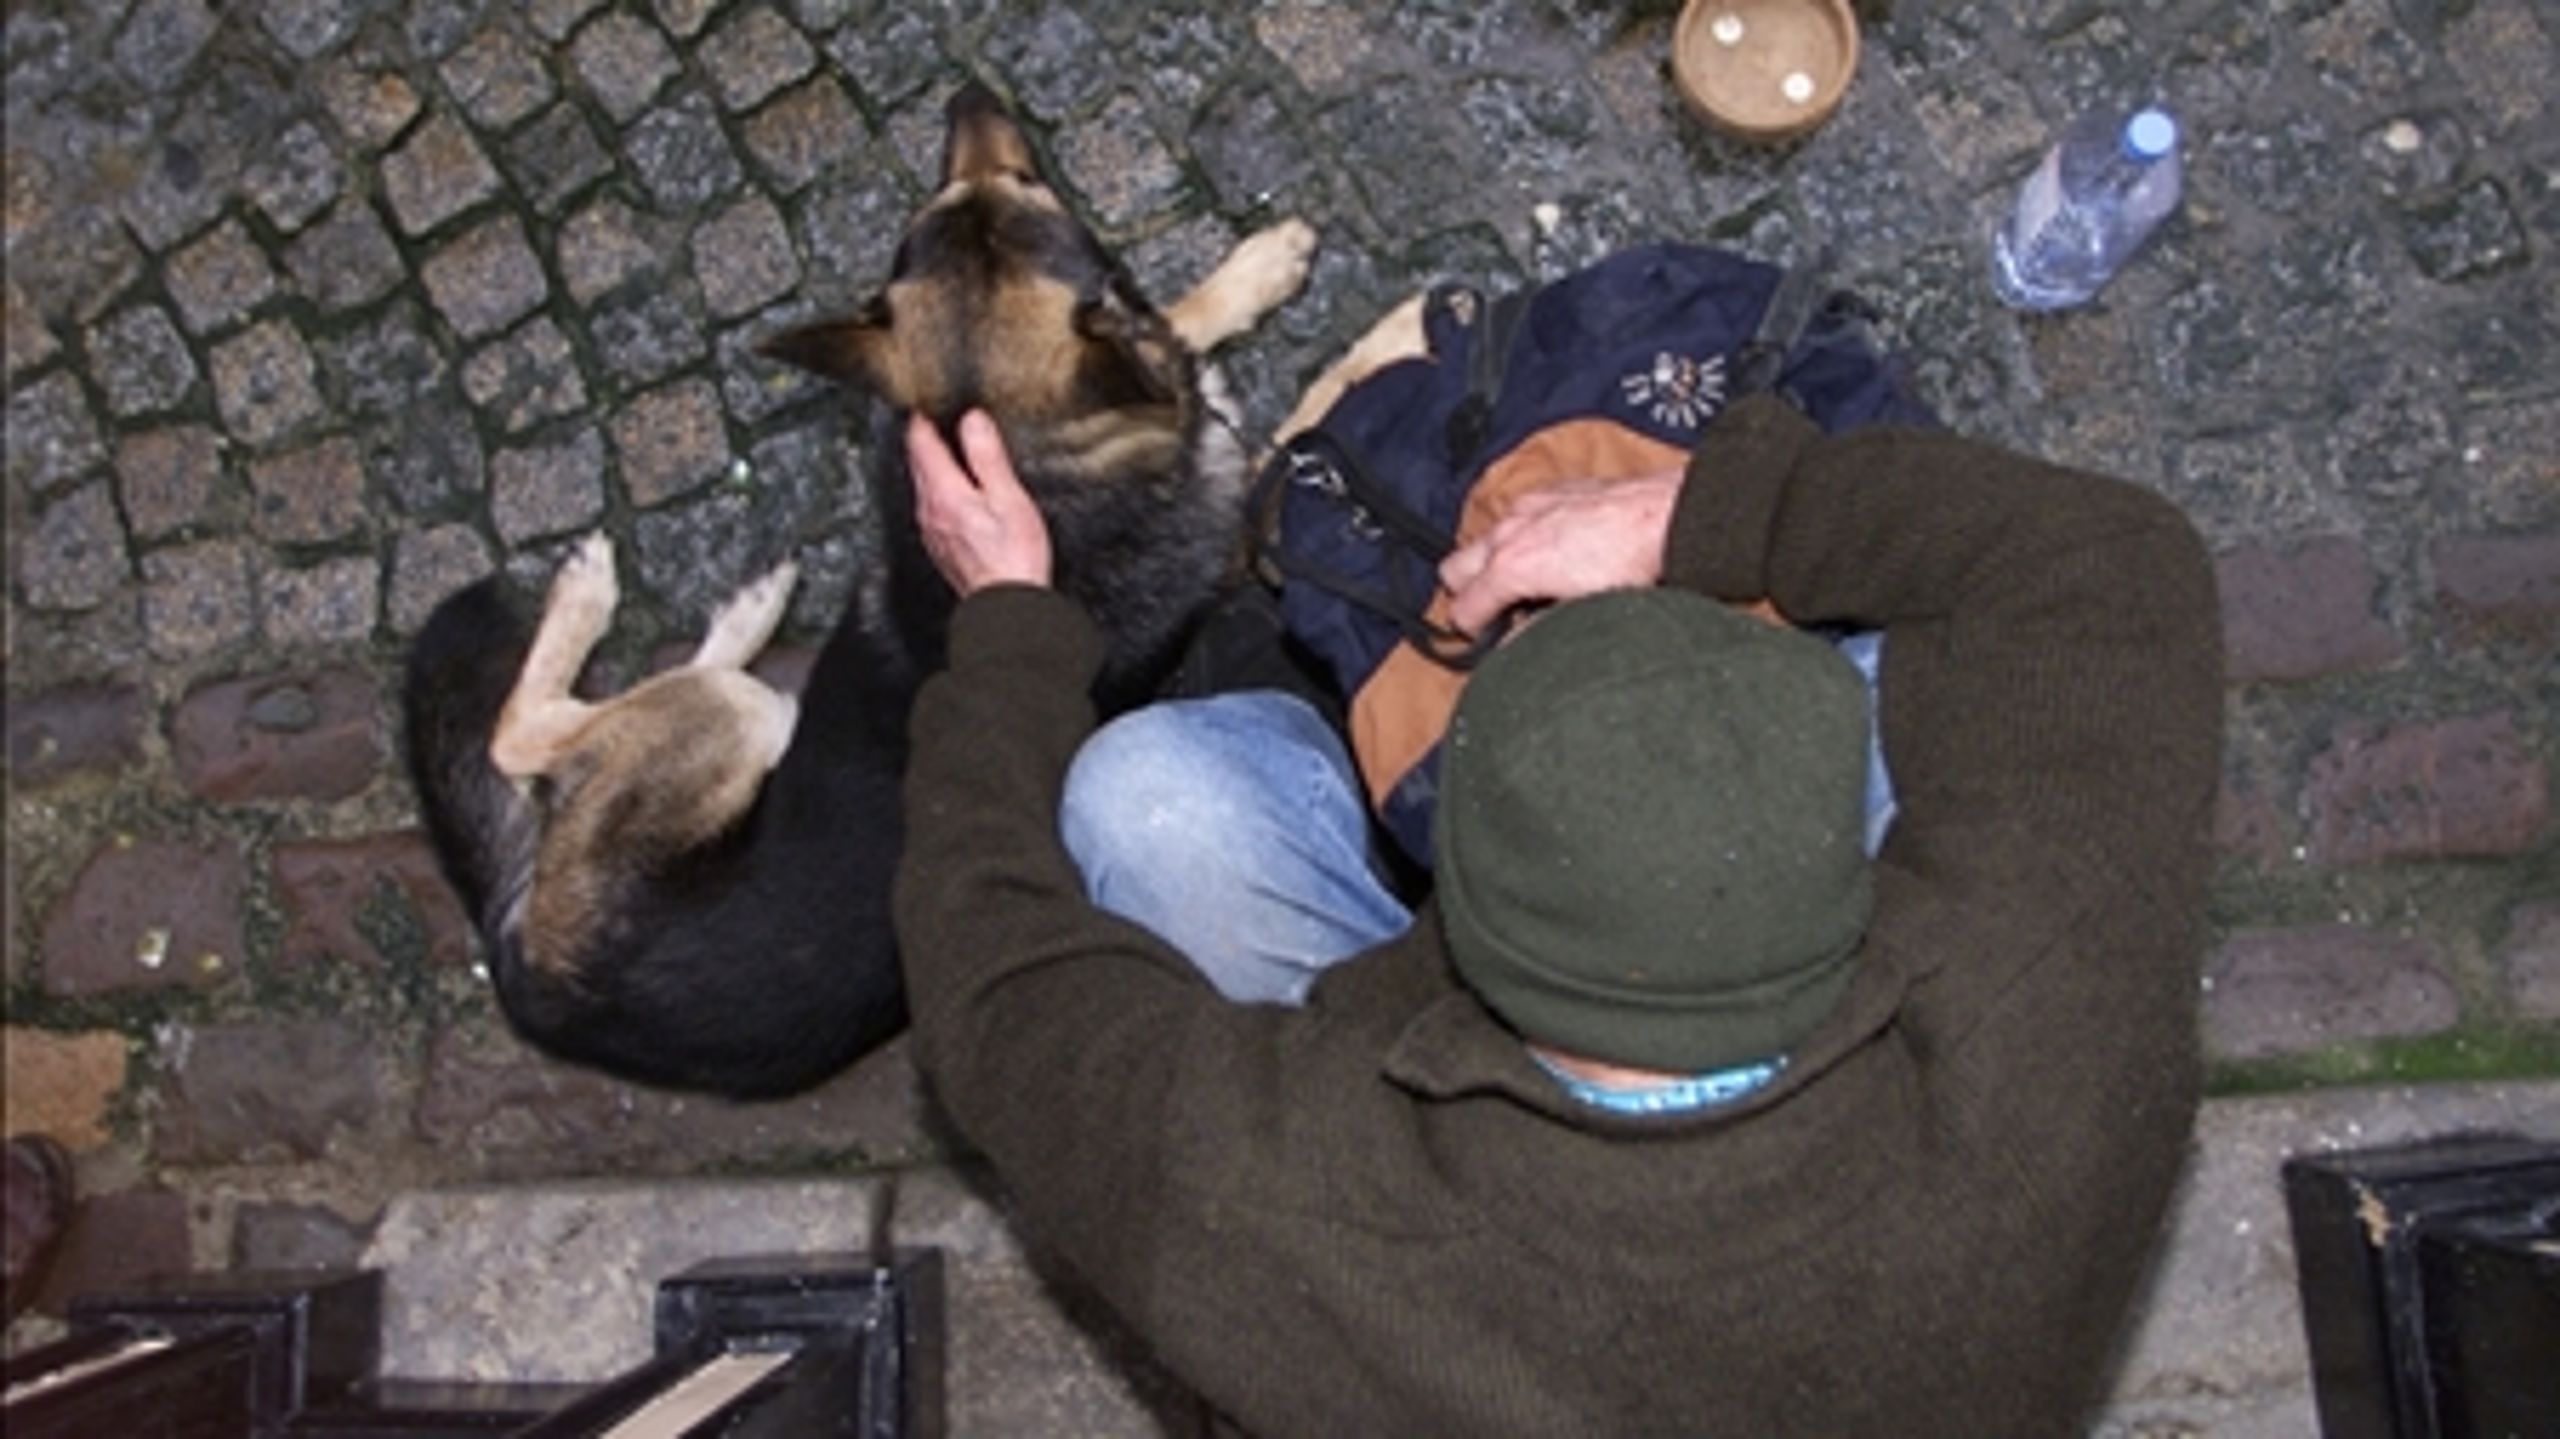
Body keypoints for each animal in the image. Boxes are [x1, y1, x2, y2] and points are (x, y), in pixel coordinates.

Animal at [404, 83, 1320, 1090]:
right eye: (1021, 182)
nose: (965, 95)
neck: (1033, 461)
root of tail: (535, 983)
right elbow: (1187, 345)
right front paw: (1253, 275)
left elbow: (1173, 340)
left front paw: (1247, 277)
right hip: (726, 720)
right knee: (523, 735)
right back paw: (596, 595)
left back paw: (747, 609)